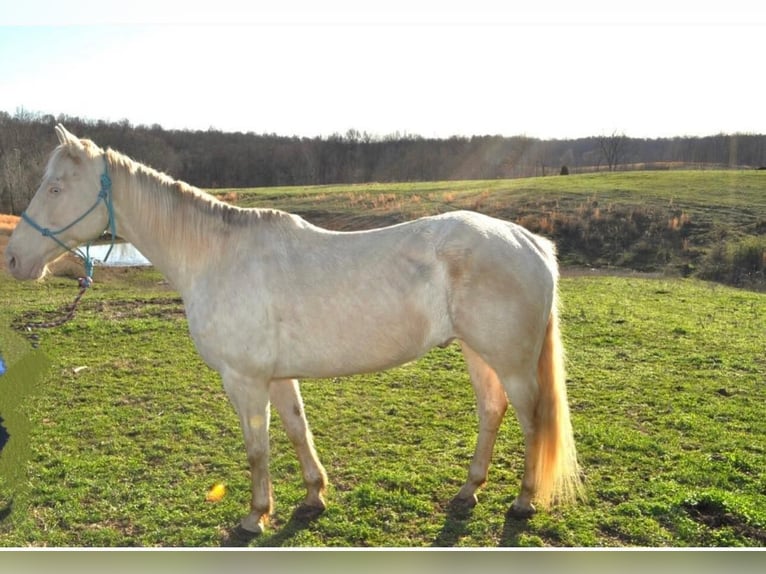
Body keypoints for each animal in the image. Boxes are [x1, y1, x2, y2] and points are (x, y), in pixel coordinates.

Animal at [4, 125, 584, 536]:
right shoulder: (277, 377)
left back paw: (522, 501)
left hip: (510, 361)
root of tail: (530, 242)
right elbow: (297, 430)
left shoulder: (244, 381)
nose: (13, 259)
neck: (216, 258)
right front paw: (312, 498)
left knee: (532, 420)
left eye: (55, 187)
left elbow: (257, 448)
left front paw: (254, 515)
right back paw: (468, 492)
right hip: (477, 352)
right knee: (492, 411)